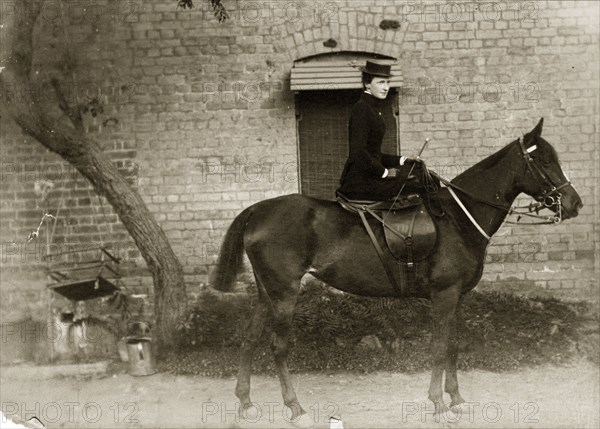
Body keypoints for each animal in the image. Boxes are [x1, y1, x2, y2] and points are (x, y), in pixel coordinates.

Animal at [210, 118, 580, 424]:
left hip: (267, 292)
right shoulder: (444, 295)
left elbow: (453, 345)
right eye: (545, 161)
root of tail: (258, 209)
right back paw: (296, 409)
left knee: (249, 339)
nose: (574, 203)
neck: (458, 218)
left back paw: (246, 403)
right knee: (278, 346)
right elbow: (439, 347)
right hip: (285, 292)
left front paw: (457, 399)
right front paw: (439, 405)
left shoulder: (456, 297)